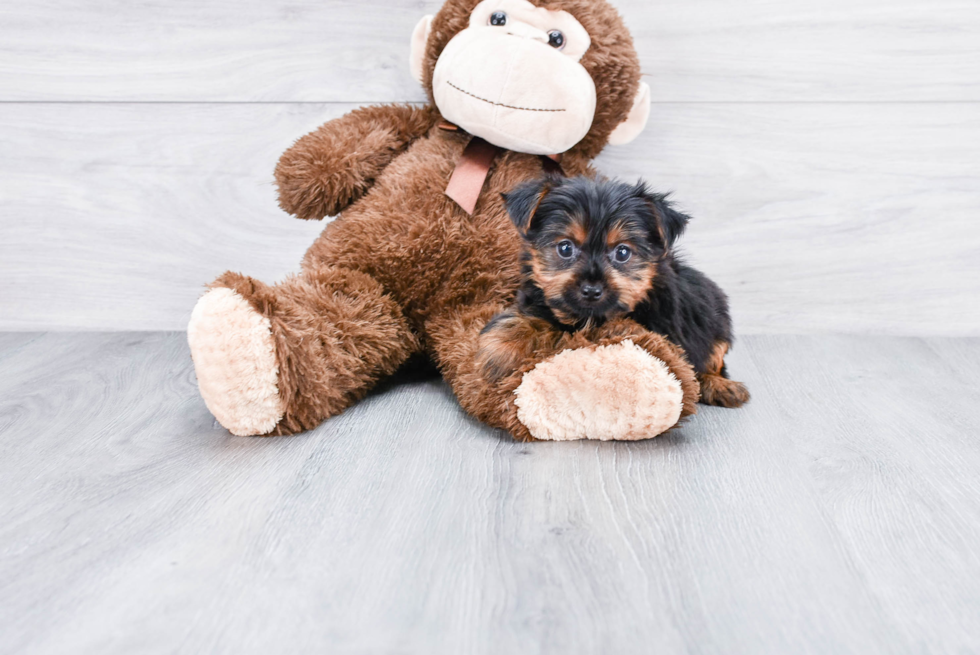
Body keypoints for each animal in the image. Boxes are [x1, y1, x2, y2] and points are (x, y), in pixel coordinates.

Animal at [482, 174, 752, 410]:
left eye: (622, 253)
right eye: (565, 248)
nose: (592, 290)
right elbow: (526, 320)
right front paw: (499, 351)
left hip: (717, 327)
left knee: (713, 358)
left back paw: (720, 385)